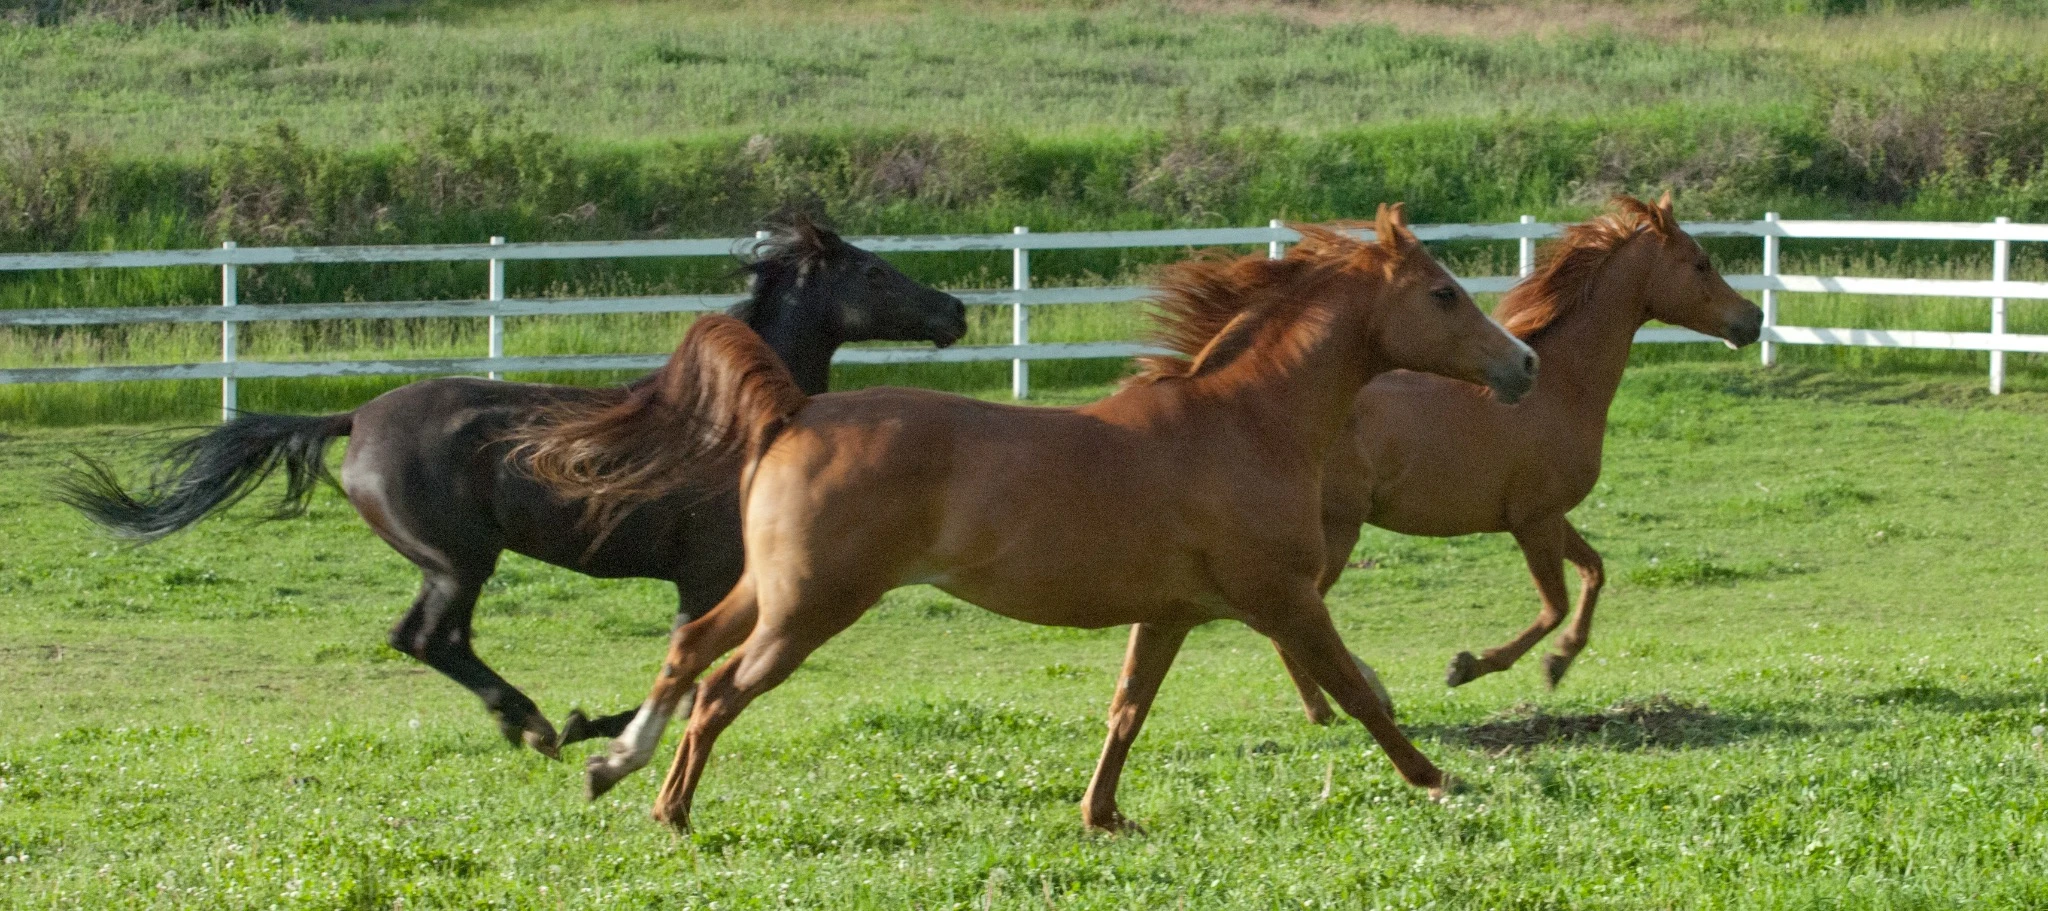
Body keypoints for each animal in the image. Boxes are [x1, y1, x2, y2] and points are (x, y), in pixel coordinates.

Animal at [59, 216, 968, 757]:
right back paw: (532, 721)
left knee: (430, 638)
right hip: (461, 559)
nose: (956, 310)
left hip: (449, 563)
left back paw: (525, 720)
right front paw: (590, 724)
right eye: (876, 272)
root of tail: (355, 417)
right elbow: (676, 671)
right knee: (428, 638)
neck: (735, 421)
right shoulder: (708, 574)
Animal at [511, 204, 1540, 832]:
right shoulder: (1283, 596)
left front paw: (1102, 814)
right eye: (1443, 293)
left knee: (687, 651)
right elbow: (1362, 692)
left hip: (769, 588)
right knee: (720, 690)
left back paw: (613, 764)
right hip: (811, 607)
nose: (1523, 363)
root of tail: (797, 410)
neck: (1244, 421)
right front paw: (1440, 780)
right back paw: (670, 810)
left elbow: (1128, 707)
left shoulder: (1171, 613)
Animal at [1268, 195, 1764, 726]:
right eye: (1701, 263)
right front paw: (1469, 666)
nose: (1753, 318)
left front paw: (1558, 662)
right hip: (1338, 528)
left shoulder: (1548, 514)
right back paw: (1333, 706)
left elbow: (1594, 570)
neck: (1561, 387)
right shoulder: (1534, 520)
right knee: (1292, 624)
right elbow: (1555, 605)